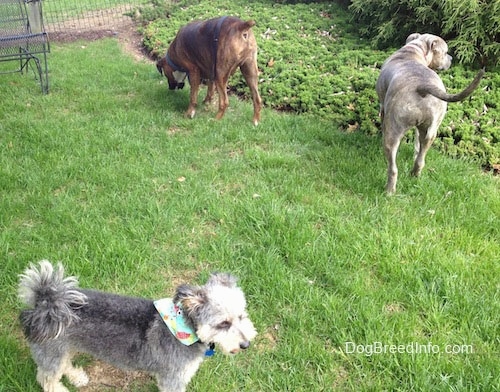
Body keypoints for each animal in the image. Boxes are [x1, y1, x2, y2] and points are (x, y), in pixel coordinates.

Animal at [18, 260, 256, 392]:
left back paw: (77, 377)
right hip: (51, 352)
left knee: (63, 365)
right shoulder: (173, 380)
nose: (245, 345)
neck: (184, 329)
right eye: (223, 323)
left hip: (62, 349)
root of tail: (44, 304)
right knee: (46, 378)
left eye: (241, 315)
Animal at [376, 33, 484, 194]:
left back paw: (389, 191)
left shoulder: (383, 108)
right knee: (421, 158)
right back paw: (415, 174)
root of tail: (421, 85)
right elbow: (416, 143)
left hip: (393, 133)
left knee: (393, 168)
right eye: (445, 52)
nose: (451, 58)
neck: (414, 50)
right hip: (431, 130)